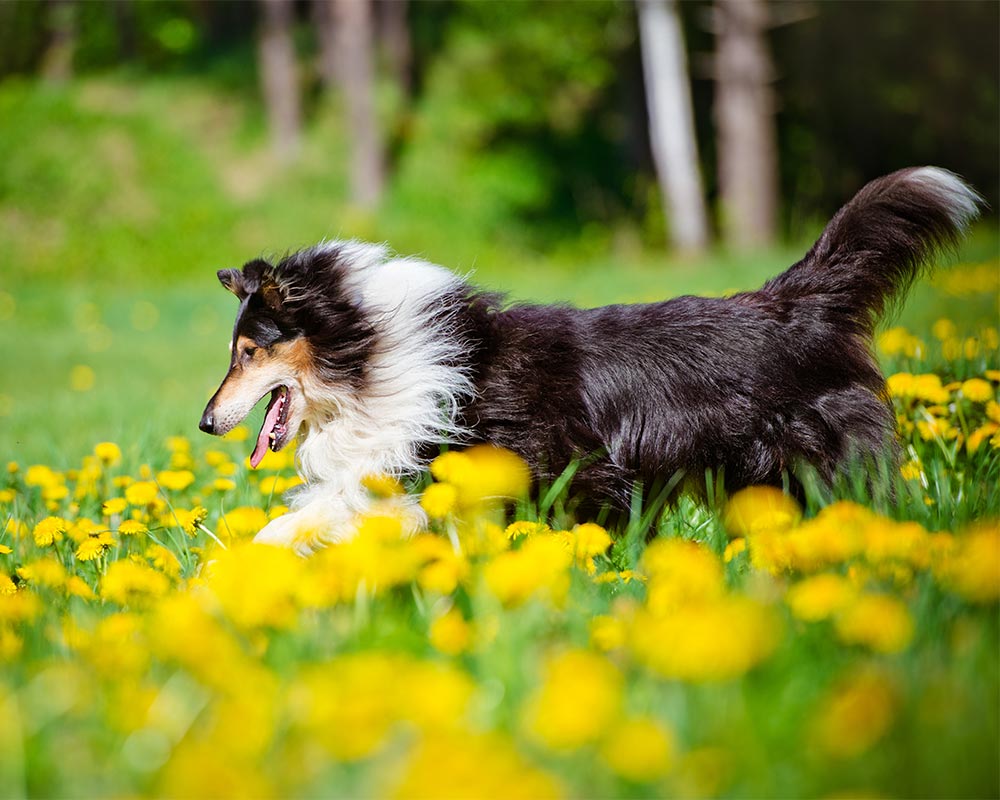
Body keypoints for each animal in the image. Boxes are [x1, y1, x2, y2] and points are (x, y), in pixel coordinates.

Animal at [201, 170, 976, 552]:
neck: (371, 351)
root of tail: (799, 299)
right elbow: (309, 516)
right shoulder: (397, 460)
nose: (206, 423)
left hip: (818, 458)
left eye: (247, 352)